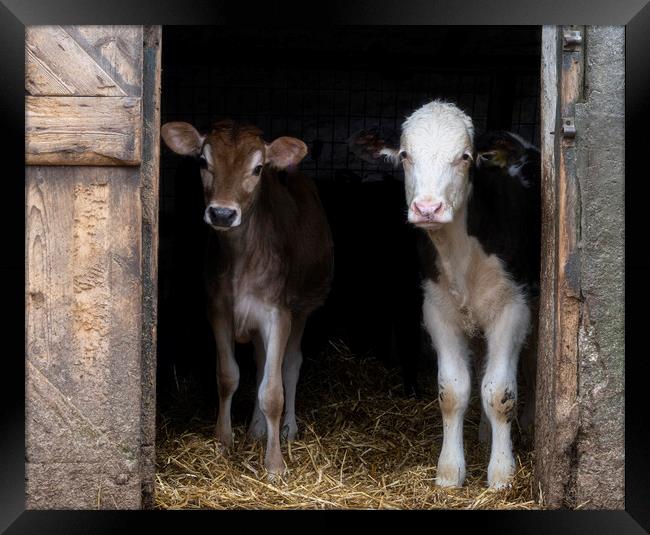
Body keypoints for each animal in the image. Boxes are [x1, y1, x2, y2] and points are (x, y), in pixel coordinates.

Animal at [161, 121, 334, 478]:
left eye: (258, 169)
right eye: (203, 161)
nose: (222, 213)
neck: (241, 257)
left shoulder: (277, 314)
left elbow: (273, 391)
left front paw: (275, 464)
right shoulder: (218, 310)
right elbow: (229, 376)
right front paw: (222, 443)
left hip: (303, 307)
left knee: (289, 363)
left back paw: (288, 429)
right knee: (261, 362)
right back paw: (256, 429)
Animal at [352, 100, 540, 490]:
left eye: (465, 157)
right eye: (405, 155)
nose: (427, 208)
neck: (461, 254)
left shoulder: (512, 309)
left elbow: (500, 392)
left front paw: (502, 474)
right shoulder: (437, 310)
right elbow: (453, 391)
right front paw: (450, 472)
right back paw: (483, 434)